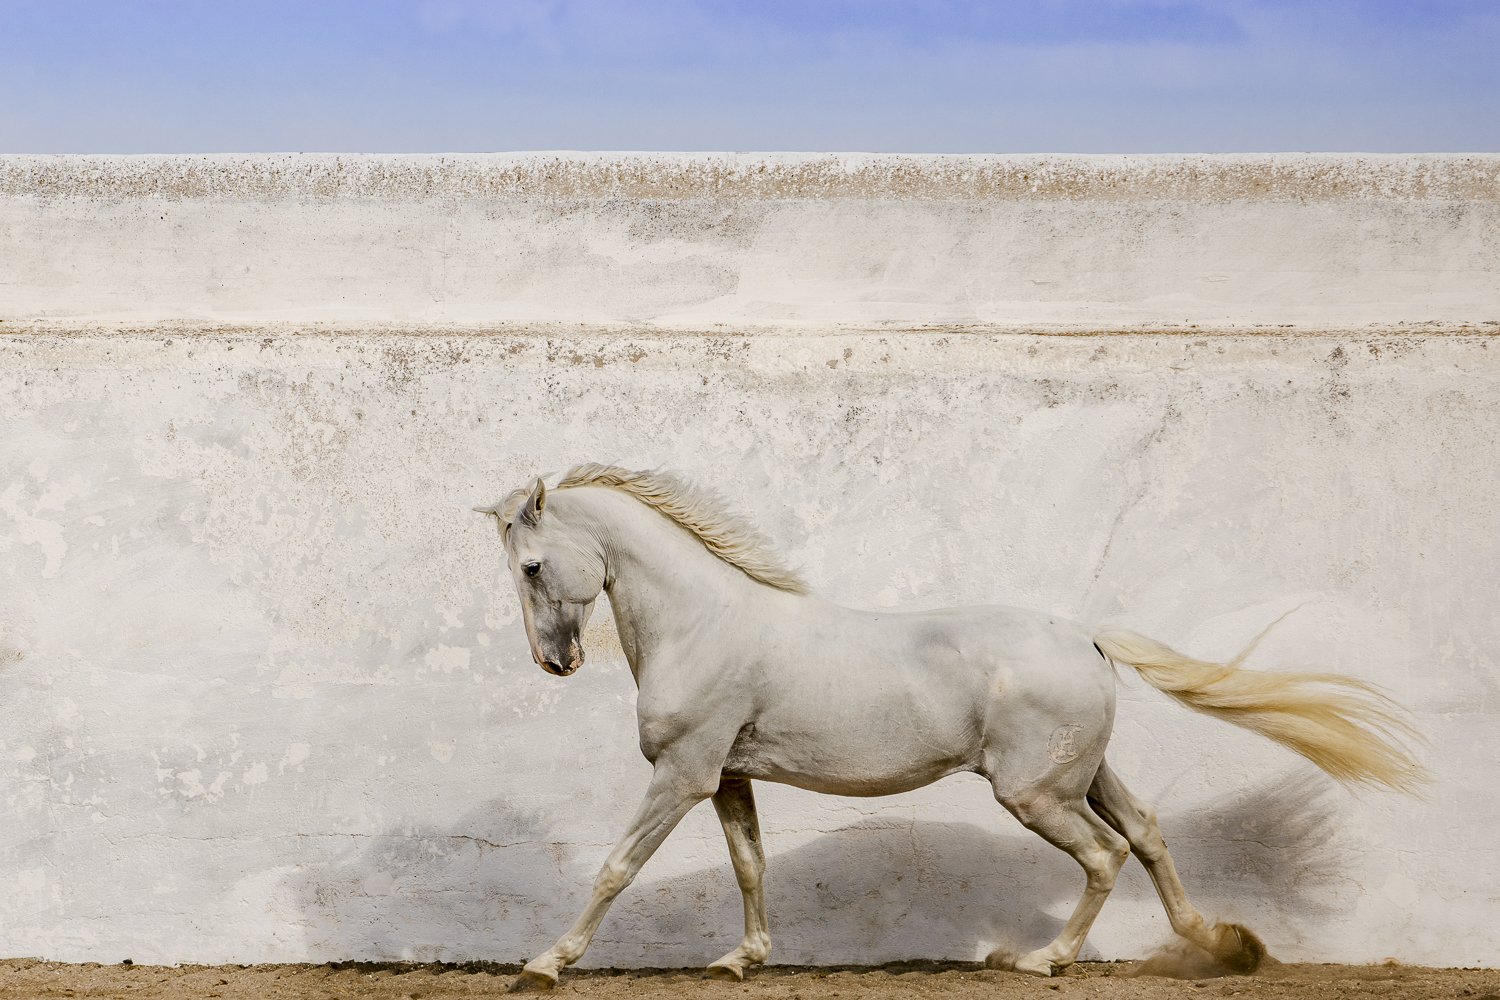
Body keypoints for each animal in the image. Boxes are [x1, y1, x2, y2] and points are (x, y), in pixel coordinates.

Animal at [474, 464, 1424, 991]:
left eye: (531, 566)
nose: (554, 663)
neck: (703, 623)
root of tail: (1085, 634)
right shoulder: (727, 775)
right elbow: (749, 865)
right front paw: (743, 960)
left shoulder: (681, 774)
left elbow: (616, 867)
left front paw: (543, 965)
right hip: (1084, 775)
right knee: (1148, 835)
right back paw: (1218, 946)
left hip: (1035, 794)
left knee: (1105, 855)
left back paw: (1045, 962)